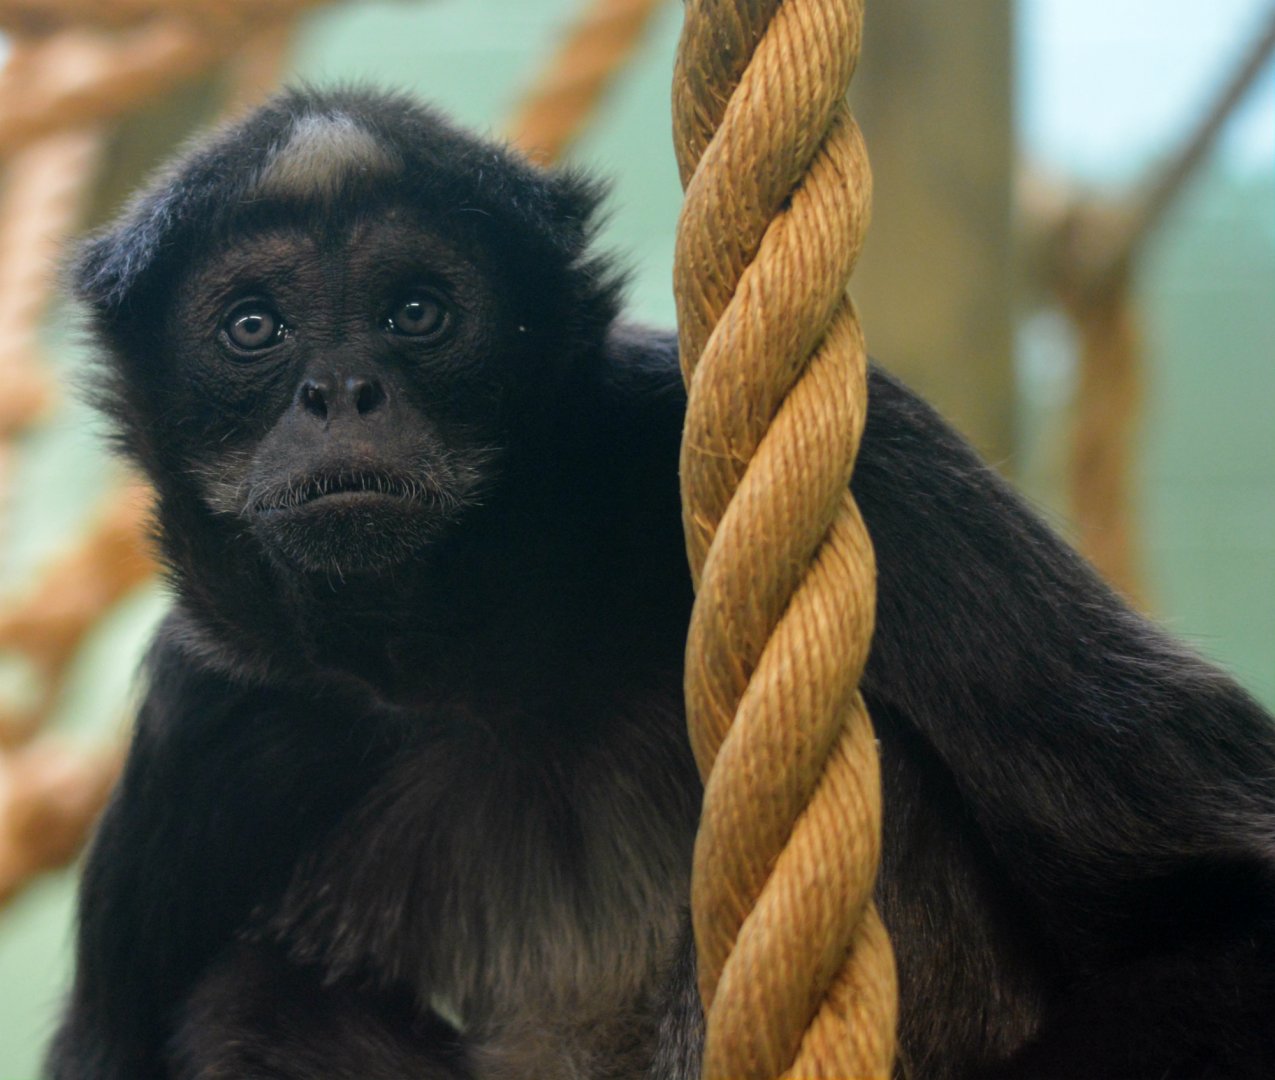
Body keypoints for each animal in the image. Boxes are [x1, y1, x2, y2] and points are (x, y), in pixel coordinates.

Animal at [46, 87, 1275, 1080]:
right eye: (252, 326)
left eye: (417, 313)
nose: (340, 391)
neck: (480, 666)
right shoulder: (215, 708)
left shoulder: (864, 468)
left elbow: (1227, 910)